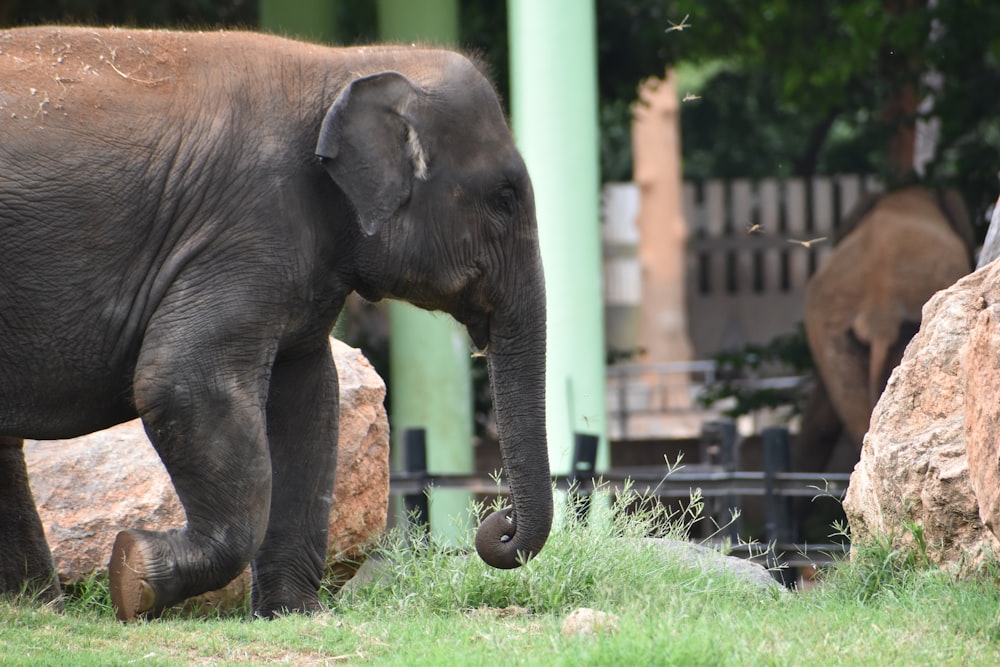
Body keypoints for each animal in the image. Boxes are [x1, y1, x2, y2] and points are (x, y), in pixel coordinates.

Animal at [0, 26, 552, 620]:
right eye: (504, 198)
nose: (499, 521)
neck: (344, 65)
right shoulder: (247, 229)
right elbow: (182, 383)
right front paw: (133, 572)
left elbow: (308, 400)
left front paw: (292, 614)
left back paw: (32, 609)